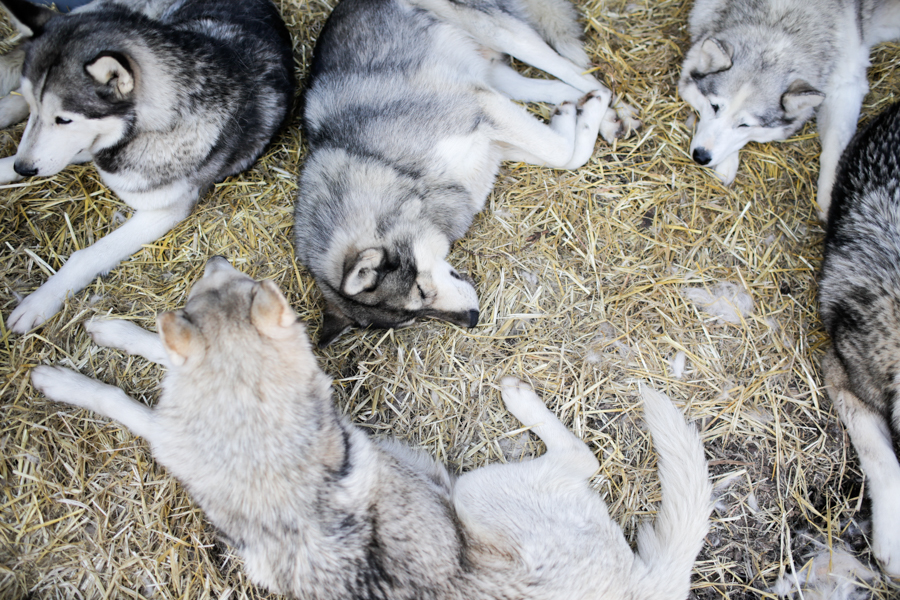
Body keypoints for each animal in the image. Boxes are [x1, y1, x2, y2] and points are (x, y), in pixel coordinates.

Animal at [0, 0, 294, 332]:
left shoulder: (165, 210)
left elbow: (90, 255)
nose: (25, 169)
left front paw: (40, 301)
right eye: (38, 109)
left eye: (63, 119)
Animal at [31, 258, 712, 600]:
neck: (258, 428)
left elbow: (122, 396)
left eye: (235, 282)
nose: (215, 258)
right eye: (212, 283)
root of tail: (639, 587)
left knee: (583, 457)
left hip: (476, 491)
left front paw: (63, 378)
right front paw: (112, 332)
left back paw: (519, 397)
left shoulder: (168, 430)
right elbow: (154, 355)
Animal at [296, 0, 640, 346]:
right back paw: (592, 111)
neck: (392, 168)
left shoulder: (483, 106)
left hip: (504, 39)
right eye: (413, 319)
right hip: (499, 78)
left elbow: (563, 152)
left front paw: (585, 116)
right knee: (558, 86)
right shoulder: (496, 142)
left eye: (421, 292)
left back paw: (612, 111)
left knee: (578, 73)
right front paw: (571, 118)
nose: (473, 319)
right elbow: (566, 154)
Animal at [680, 0, 900, 220]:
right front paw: (727, 162)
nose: (700, 157)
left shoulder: (846, 83)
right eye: (714, 106)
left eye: (745, 124)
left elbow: (833, 147)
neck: (779, 23)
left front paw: (828, 199)